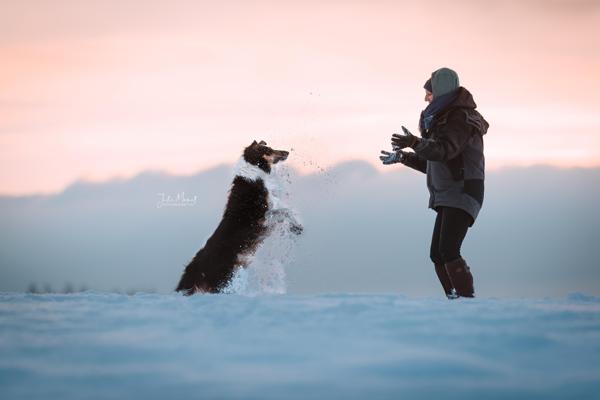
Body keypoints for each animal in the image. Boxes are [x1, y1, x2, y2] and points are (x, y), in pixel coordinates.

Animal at [176, 140, 302, 294]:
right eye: (269, 150)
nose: (287, 152)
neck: (254, 171)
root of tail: (192, 268)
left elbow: (286, 211)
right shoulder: (265, 213)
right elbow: (286, 211)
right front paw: (297, 227)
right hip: (222, 279)